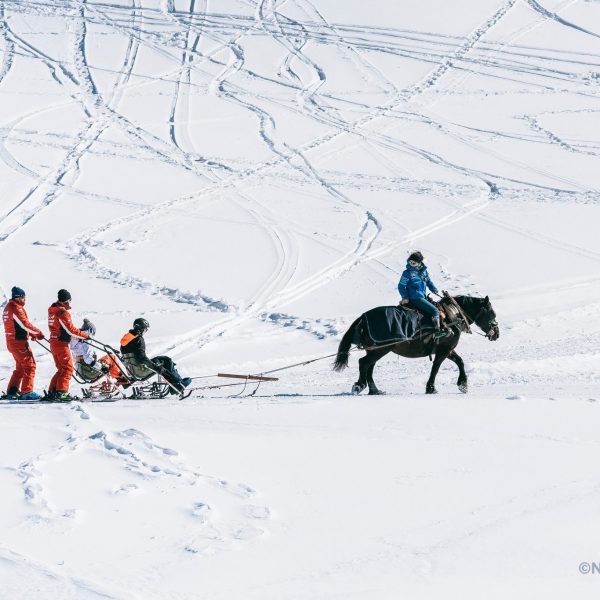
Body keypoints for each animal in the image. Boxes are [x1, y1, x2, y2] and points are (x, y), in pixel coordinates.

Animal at [332, 294, 496, 396]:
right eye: (492, 314)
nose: (497, 333)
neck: (452, 316)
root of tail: (363, 317)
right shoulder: (443, 350)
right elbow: (436, 368)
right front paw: (431, 388)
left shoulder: (447, 350)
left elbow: (460, 362)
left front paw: (463, 384)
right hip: (380, 350)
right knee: (363, 363)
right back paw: (359, 385)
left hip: (375, 350)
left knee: (368, 367)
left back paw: (374, 390)